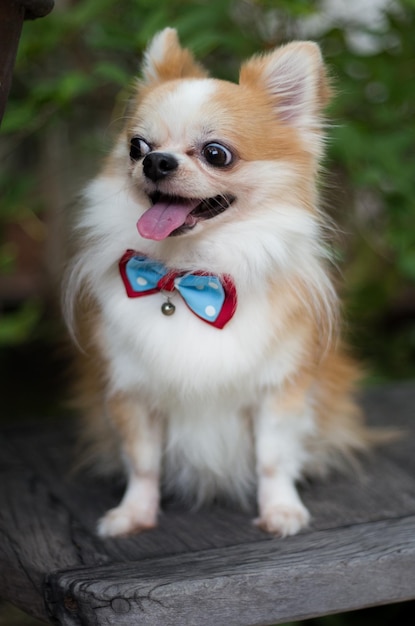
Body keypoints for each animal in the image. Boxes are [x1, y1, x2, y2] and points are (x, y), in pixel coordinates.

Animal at [63, 28, 372, 536]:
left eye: (216, 154)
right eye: (136, 147)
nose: (156, 162)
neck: (185, 277)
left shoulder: (279, 390)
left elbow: (272, 459)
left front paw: (281, 510)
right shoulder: (132, 392)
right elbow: (143, 463)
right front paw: (133, 514)